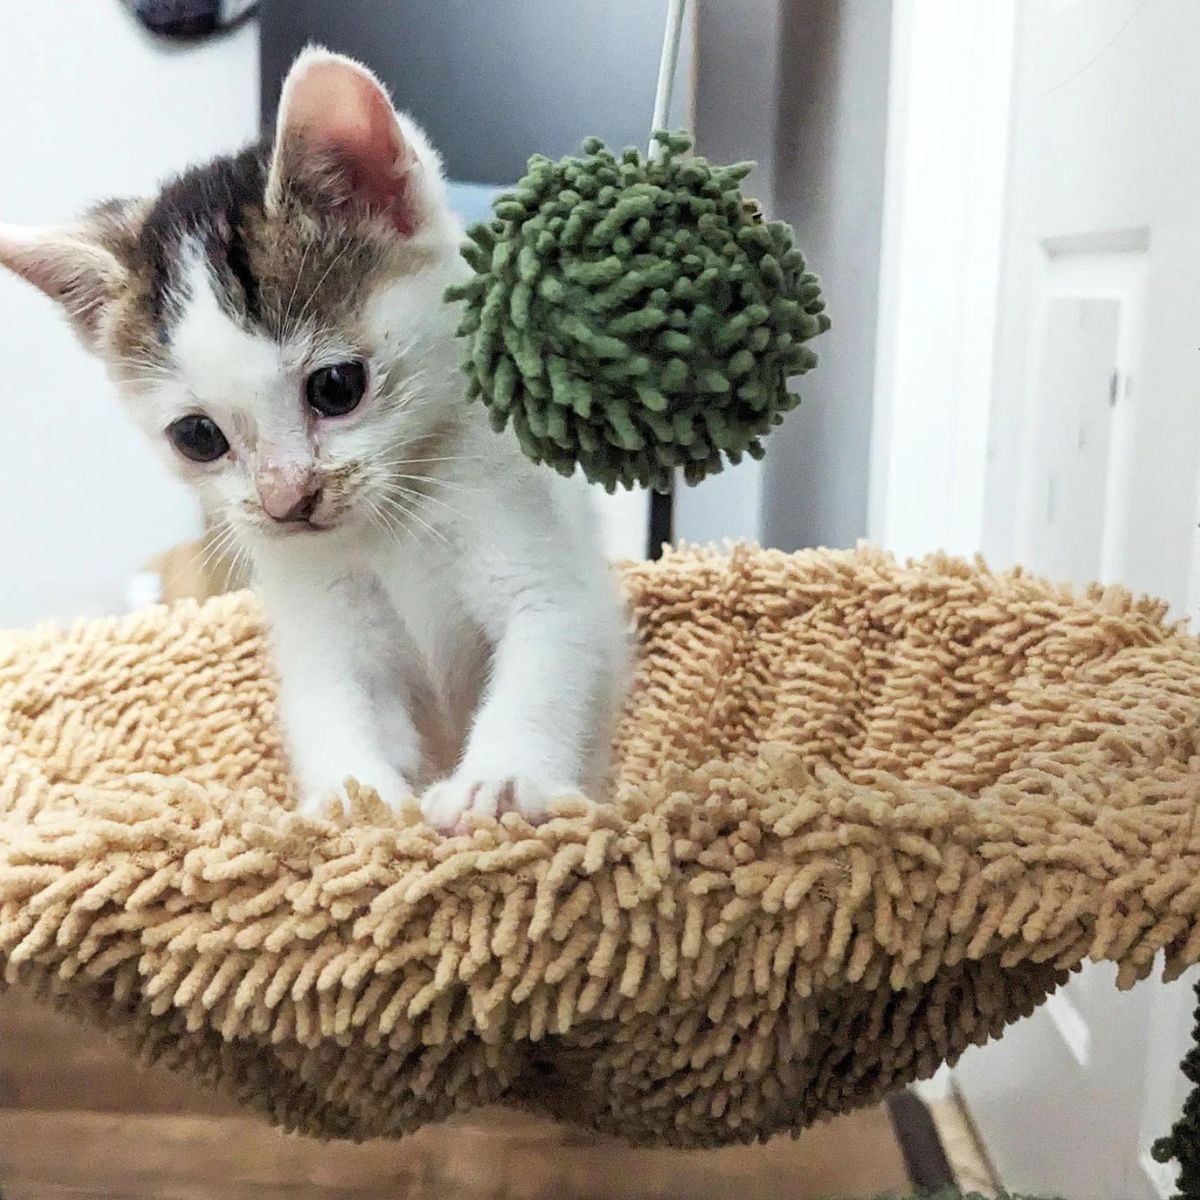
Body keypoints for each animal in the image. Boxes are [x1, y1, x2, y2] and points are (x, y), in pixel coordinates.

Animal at [0, 49, 633, 835]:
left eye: (335, 387)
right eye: (198, 436)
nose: (286, 499)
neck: (393, 525)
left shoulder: (545, 565)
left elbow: (547, 654)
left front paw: (503, 783)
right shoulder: (321, 622)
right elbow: (334, 702)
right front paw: (351, 802)